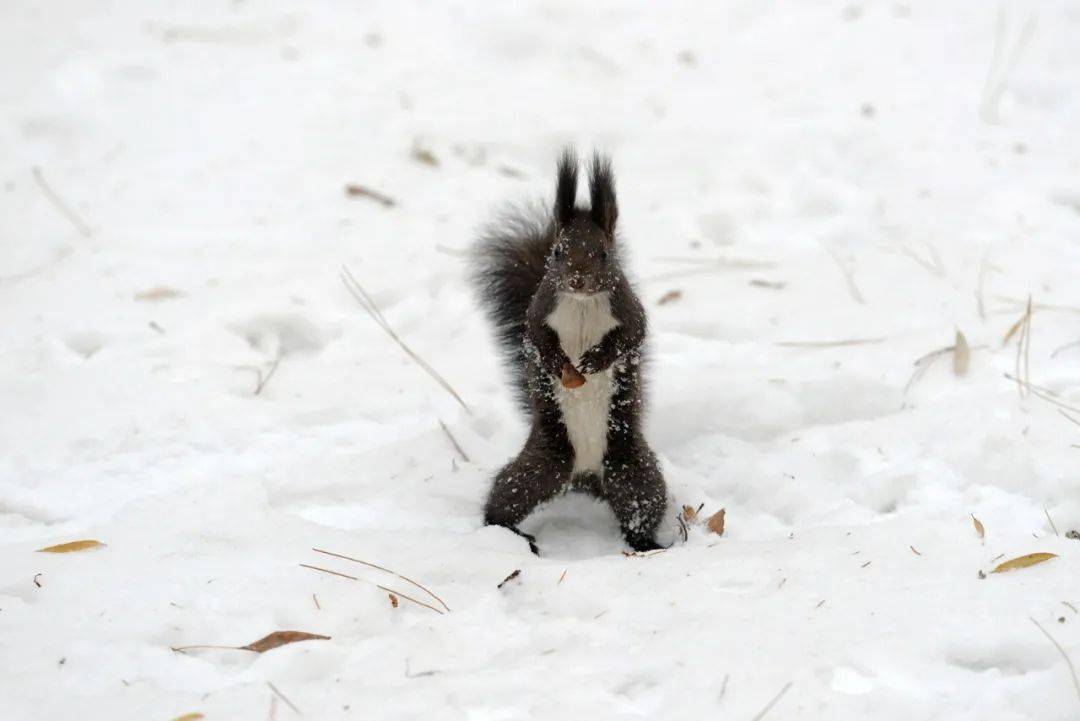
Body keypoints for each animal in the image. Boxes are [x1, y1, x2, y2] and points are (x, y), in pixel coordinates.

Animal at [470, 147, 665, 552]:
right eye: (558, 252)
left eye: (604, 254)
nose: (577, 279)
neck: (581, 303)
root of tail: (585, 477)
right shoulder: (539, 310)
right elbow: (536, 339)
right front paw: (558, 361)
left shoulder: (628, 310)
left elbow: (632, 337)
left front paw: (595, 360)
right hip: (540, 467)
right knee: (506, 498)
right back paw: (512, 535)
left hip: (631, 470)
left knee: (641, 507)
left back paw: (648, 545)